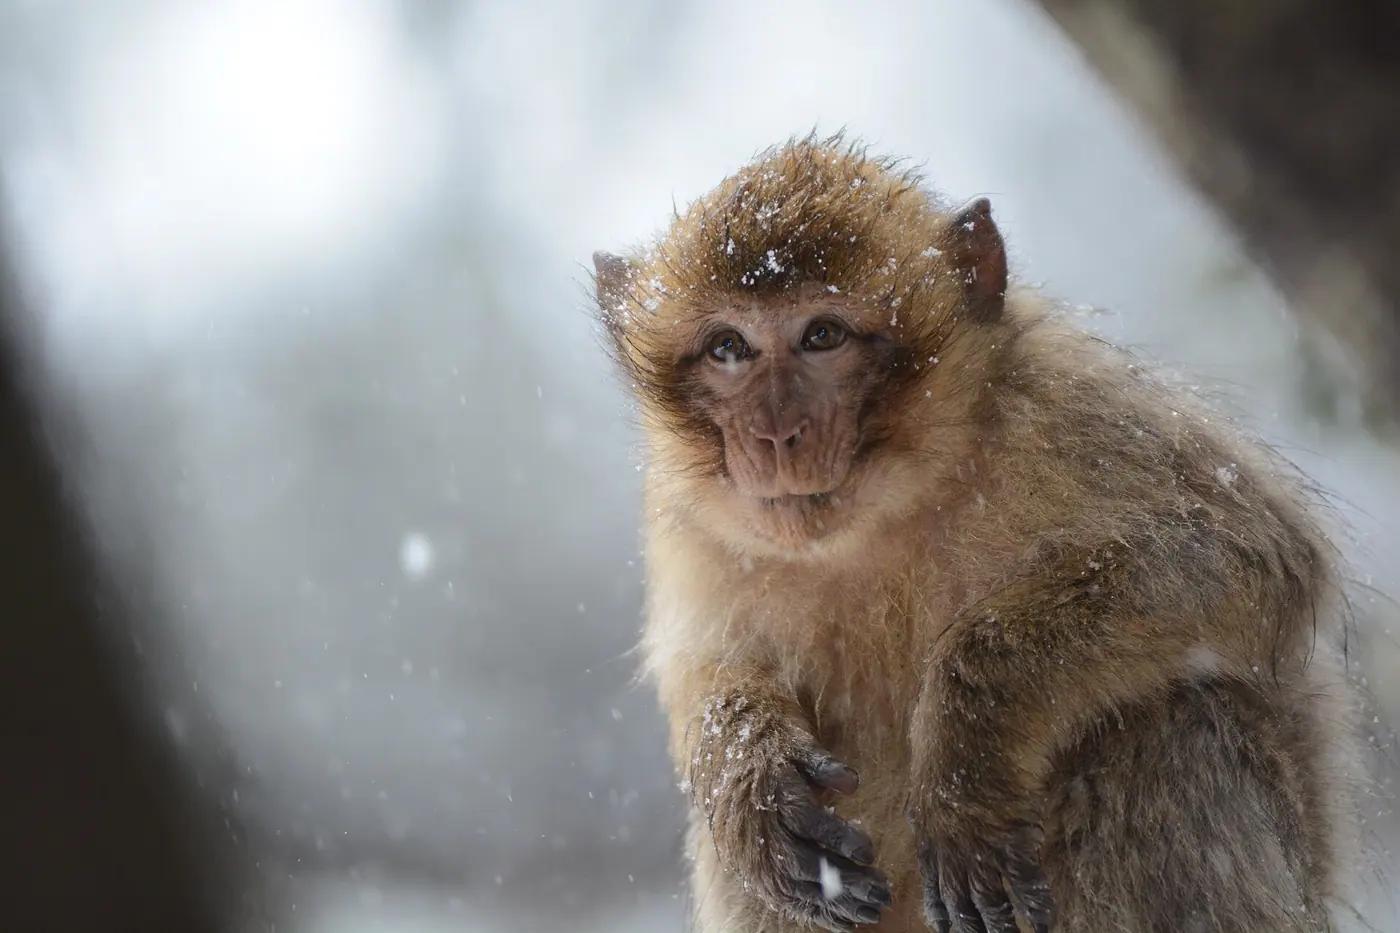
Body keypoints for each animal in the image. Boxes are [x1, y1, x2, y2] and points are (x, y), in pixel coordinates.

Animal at [592, 135, 1358, 932]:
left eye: (822, 335)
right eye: (729, 347)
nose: (774, 433)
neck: (885, 511)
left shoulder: (1068, 407)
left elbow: (1246, 556)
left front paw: (963, 752)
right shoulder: (687, 524)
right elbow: (703, 664)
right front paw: (748, 771)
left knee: (1169, 727)